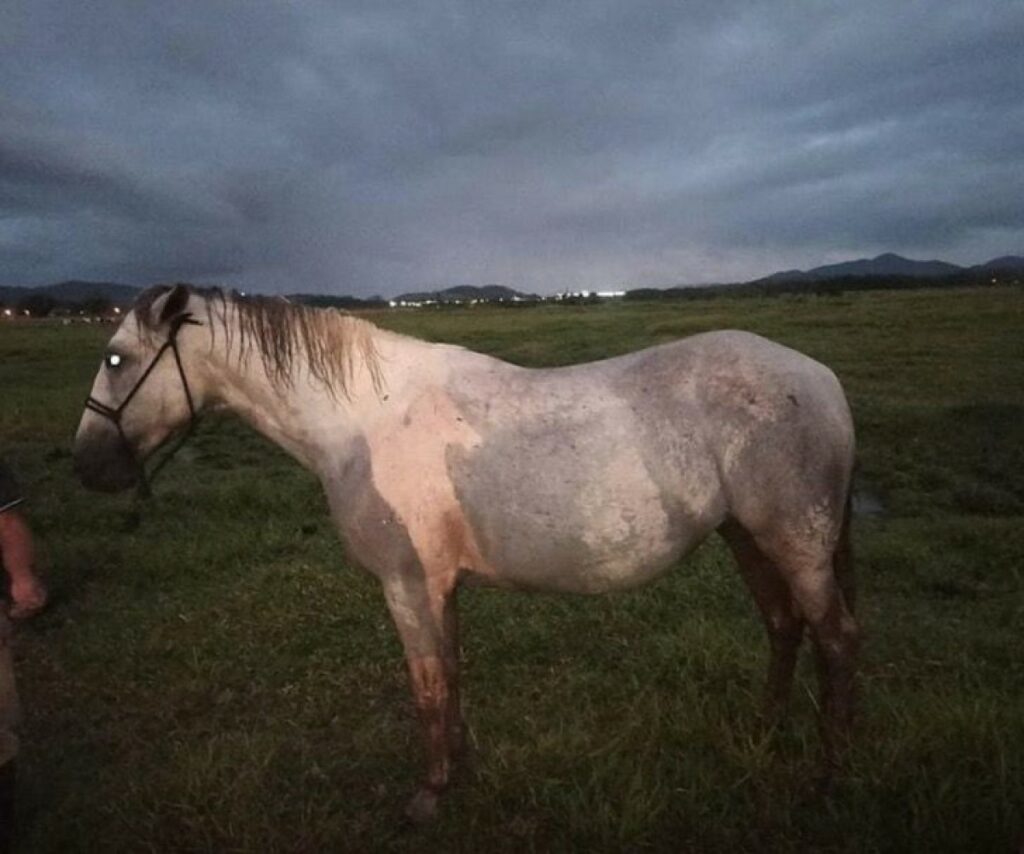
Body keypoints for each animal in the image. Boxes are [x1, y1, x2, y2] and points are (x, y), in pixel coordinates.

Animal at [74, 284, 856, 819]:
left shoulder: (405, 584)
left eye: (116, 358)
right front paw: (465, 770)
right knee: (783, 627)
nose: (89, 467)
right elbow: (451, 673)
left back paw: (828, 779)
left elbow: (426, 684)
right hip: (747, 537)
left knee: (833, 639)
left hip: (798, 545)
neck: (363, 420)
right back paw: (763, 730)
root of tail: (822, 380)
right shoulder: (440, 585)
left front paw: (429, 793)